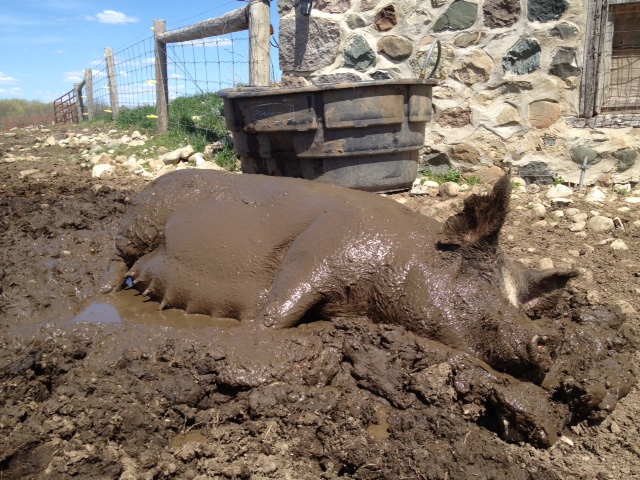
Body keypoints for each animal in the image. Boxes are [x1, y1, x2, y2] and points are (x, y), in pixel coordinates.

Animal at [101, 170, 577, 377]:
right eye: (481, 280)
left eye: (517, 300)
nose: (549, 339)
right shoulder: (317, 250)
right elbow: (277, 311)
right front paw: (253, 331)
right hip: (140, 221)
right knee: (115, 257)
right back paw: (104, 293)